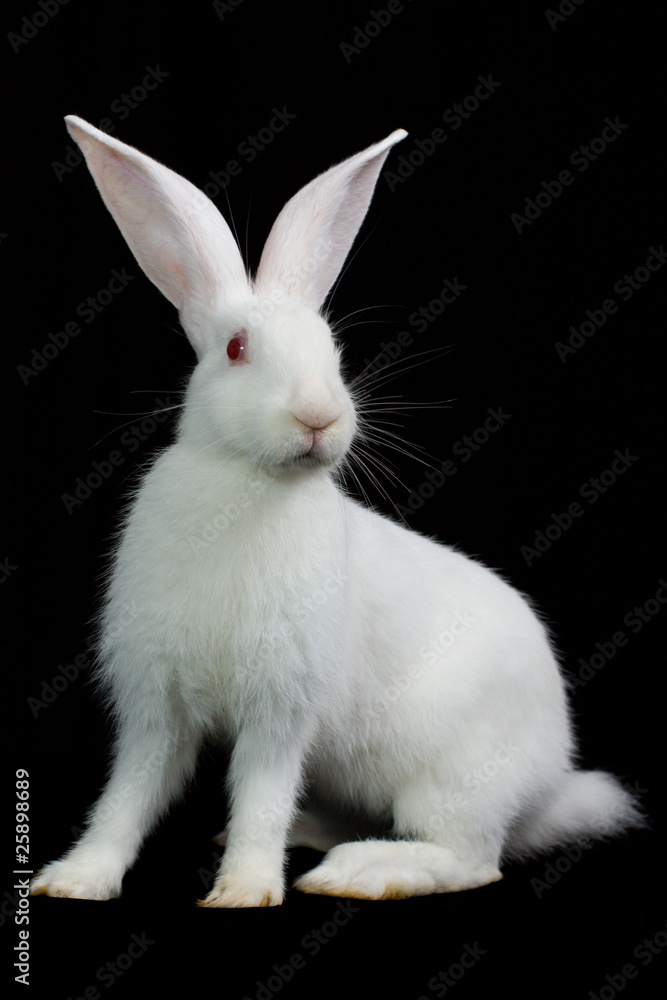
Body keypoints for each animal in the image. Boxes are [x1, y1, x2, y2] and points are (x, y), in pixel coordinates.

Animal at [31, 116, 644, 906]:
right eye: (236, 348)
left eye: (334, 351)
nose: (319, 416)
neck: (248, 484)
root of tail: (548, 786)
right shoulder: (155, 707)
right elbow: (126, 797)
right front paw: (74, 880)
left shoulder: (280, 708)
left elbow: (260, 794)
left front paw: (244, 891)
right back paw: (316, 836)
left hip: (452, 781)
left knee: (472, 860)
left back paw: (358, 872)